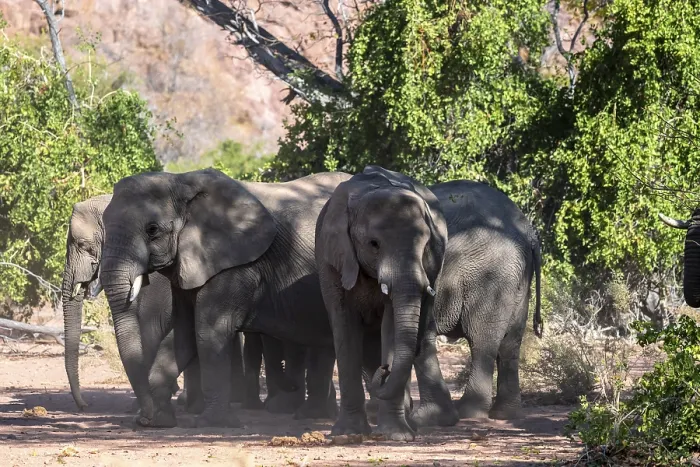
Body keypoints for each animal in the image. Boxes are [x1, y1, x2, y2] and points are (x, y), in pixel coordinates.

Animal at [98, 168, 349, 427]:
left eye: (152, 229)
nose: (143, 418)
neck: (182, 182)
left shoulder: (233, 266)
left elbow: (208, 332)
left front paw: (213, 423)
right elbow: (183, 333)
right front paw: (159, 421)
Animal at [315, 165, 448, 441]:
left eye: (425, 245)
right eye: (374, 245)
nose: (384, 369)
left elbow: (392, 325)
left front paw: (397, 436)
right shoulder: (331, 258)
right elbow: (344, 325)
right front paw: (347, 434)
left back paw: (409, 424)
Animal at [408, 180, 543, 425]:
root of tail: (529, 232)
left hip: (490, 275)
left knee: (481, 340)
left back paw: (468, 413)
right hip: (518, 280)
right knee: (510, 343)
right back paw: (504, 414)